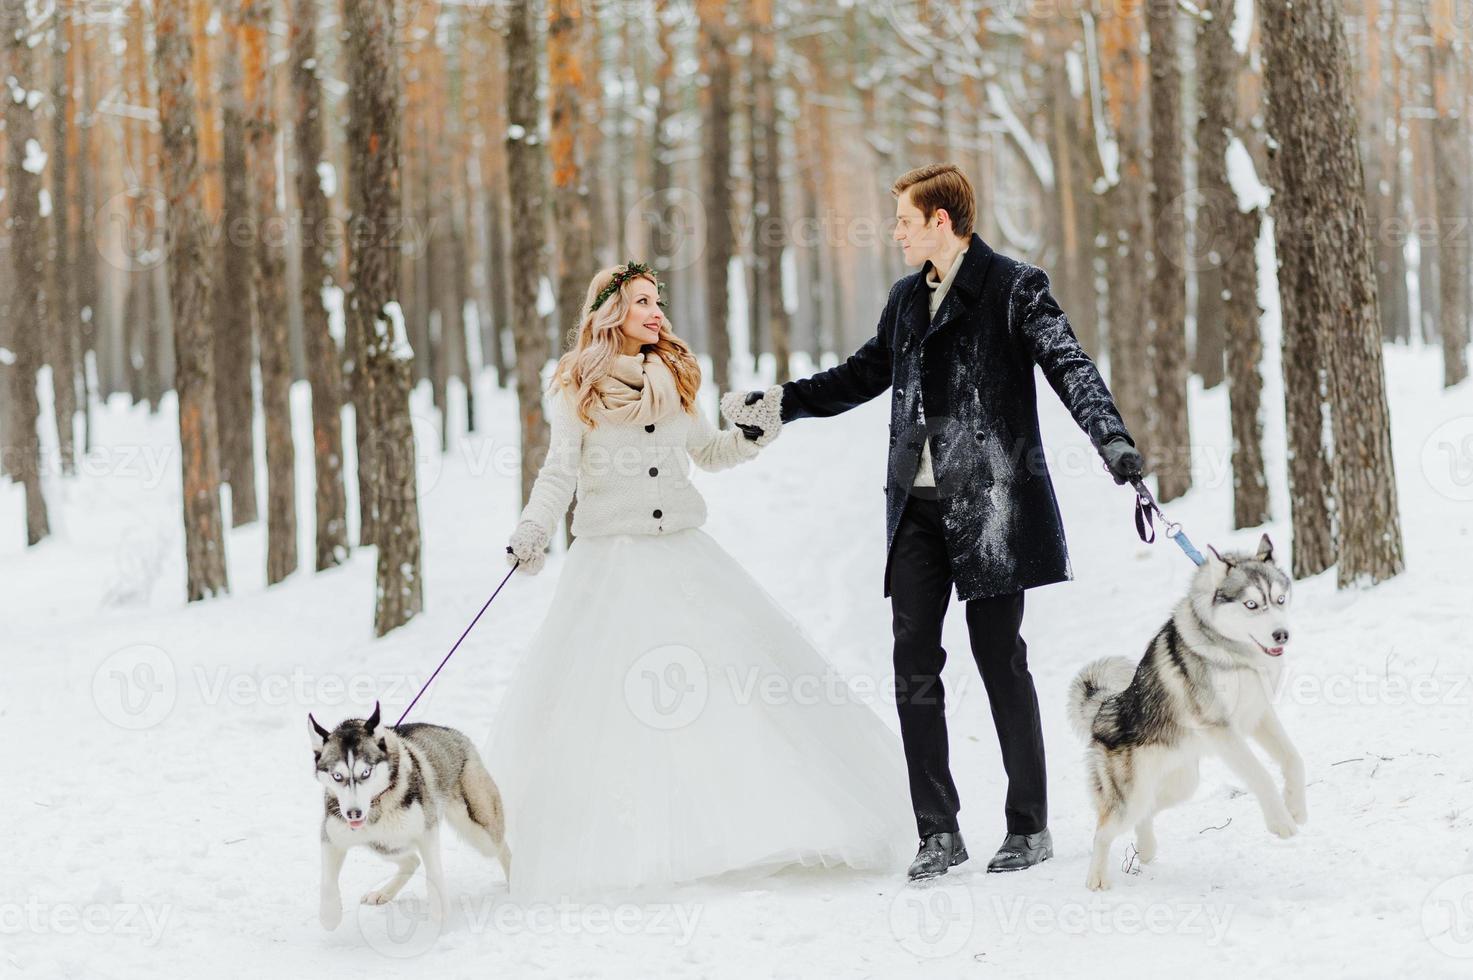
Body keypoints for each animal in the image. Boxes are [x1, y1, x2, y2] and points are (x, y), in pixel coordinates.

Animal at [307, 704, 509, 925]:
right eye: (337, 776)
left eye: (366, 772)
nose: (353, 813)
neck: (378, 804)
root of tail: (455, 734)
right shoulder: (332, 837)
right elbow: (327, 881)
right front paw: (330, 914)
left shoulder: (427, 831)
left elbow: (434, 873)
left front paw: (439, 912)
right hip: (383, 844)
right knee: (412, 860)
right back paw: (383, 893)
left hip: (481, 833)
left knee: (503, 848)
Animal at [1066, 530, 1308, 890]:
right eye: (1251, 604)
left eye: (1280, 599)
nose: (1282, 635)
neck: (1234, 653)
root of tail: (1106, 709)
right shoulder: (1221, 728)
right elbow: (1260, 775)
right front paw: (1280, 822)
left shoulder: (1258, 715)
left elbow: (1294, 759)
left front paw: (1295, 807)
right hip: (1132, 795)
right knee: (1104, 831)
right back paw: (1096, 880)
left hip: (1182, 783)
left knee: (1146, 812)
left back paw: (1146, 848)